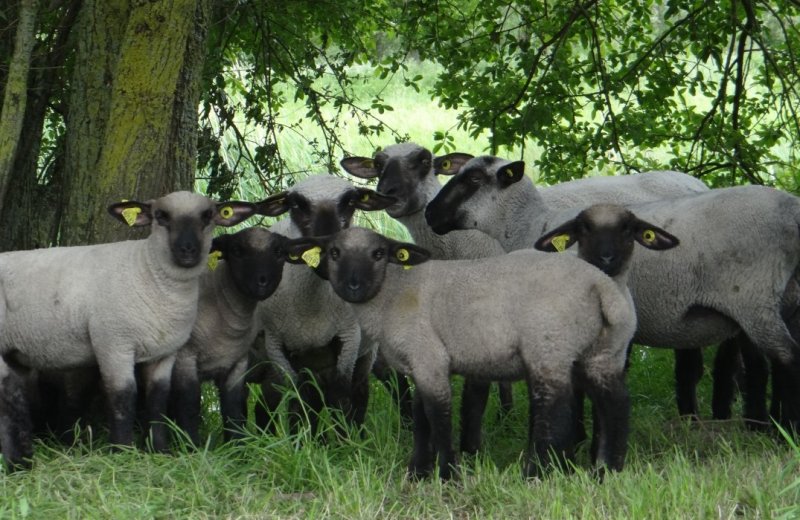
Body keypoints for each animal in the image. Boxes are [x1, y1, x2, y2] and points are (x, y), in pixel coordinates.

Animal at [0, 191, 256, 472]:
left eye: (208, 215)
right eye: (161, 216)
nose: (188, 250)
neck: (149, 272)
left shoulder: (165, 352)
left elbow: (158, 398)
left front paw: (159, 449)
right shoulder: (113, 343)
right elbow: (123, 396)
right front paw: (122, 451)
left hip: (15, 353)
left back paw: (23, 459)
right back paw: (17, 463)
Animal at [170, 225, 292, 444]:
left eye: (279, 252)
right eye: (236, 250)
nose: (262, 281)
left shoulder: (248, 365)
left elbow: (237, 408)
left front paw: (240, 446)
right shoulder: (185, 358)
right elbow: (188, 404)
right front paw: (192, 446)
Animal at [248, 176, 396, 434]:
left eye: (350, 202)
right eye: (296, 204)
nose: (328, 255)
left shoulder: (348, 337)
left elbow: (340, 398)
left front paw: (343, 439)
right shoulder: (277, 346)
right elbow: (301, 402)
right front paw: (303, 438)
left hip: (365, 352)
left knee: (359, 391)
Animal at [284, 228, 648, 480]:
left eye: (377, 254)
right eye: (334, 252)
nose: (353, 285)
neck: (392, 294)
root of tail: (600, 285)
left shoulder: (429, 355)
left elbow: (439, 417)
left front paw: (448, 474)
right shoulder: (420, 364)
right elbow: (421, 419)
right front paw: (418, 472)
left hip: (548, 346)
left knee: (556, 409)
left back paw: (537, 473)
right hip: (604, 350)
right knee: (616, 404)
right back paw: (607, 470)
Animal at [428, 155, 800, 430]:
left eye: (474, 180)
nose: (430, 213)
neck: (531, 226)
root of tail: (791, 211)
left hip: (753, 298)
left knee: (785, 358)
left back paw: (780, 432)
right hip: (780, 300)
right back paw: (766, 426)